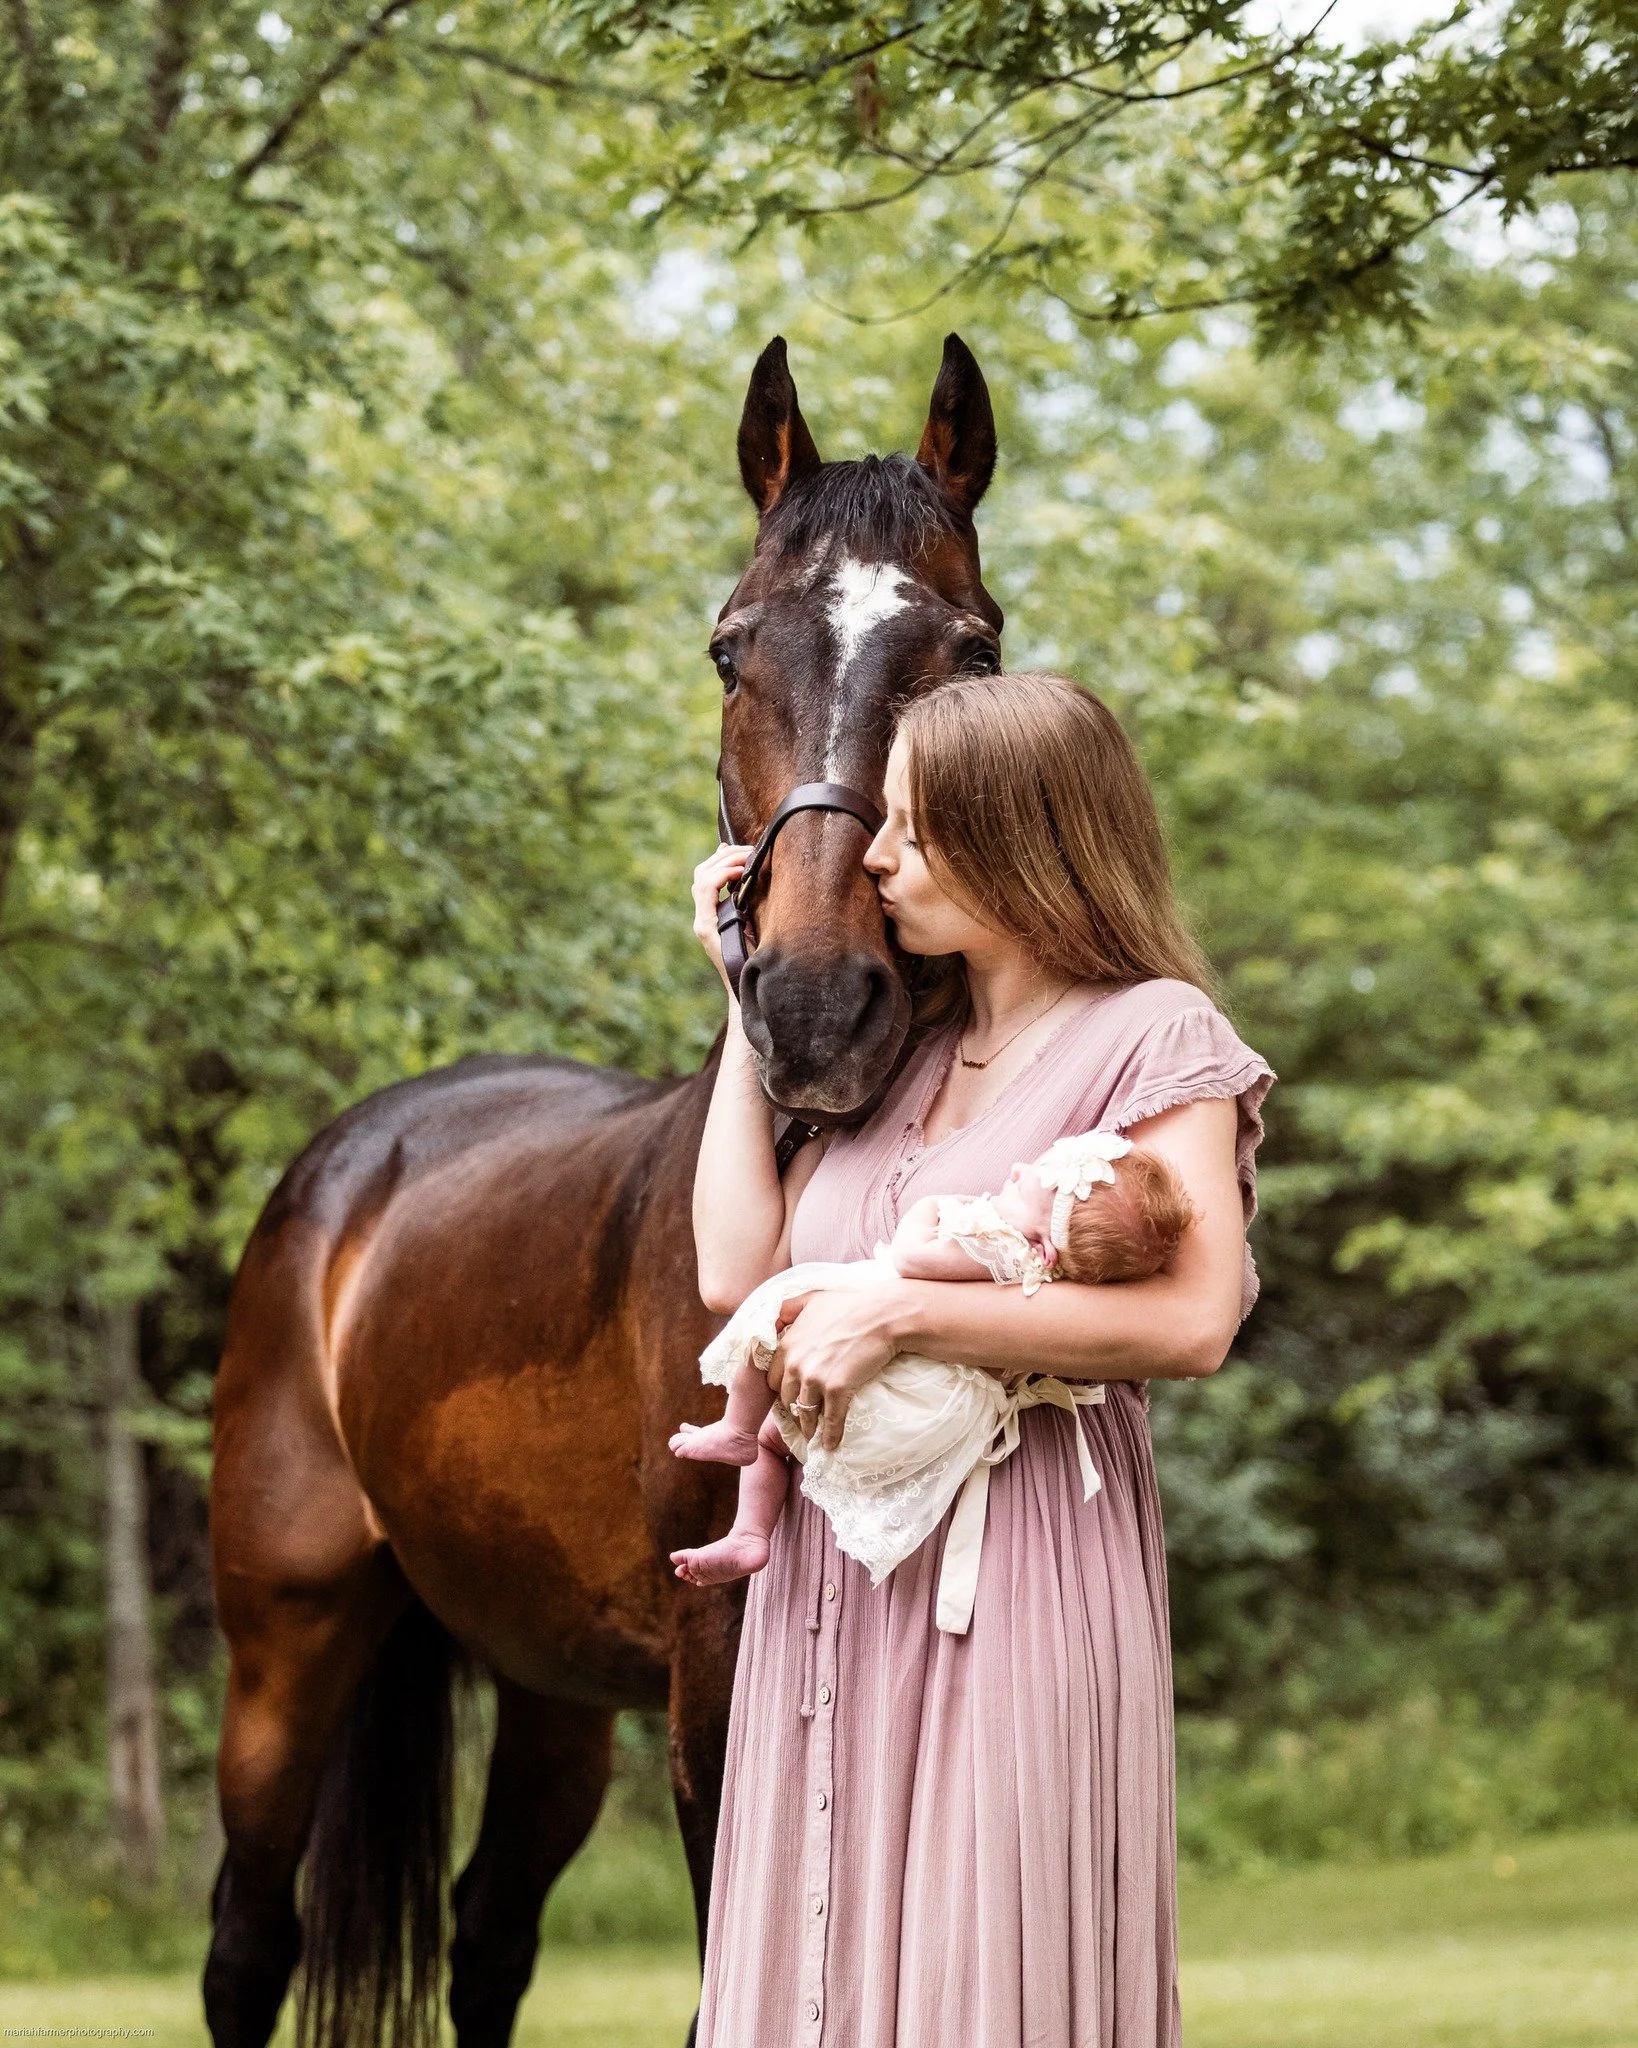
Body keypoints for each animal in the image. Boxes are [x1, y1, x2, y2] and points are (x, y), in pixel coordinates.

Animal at [203, 332, 1004, 2048]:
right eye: (725, 648)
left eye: (970, 648)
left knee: (486, 1937)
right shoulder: (716, 1658)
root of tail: (345, 1171)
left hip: (548, 1686)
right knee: (246, 1942)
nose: (815, 1007)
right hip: (284, 1646)